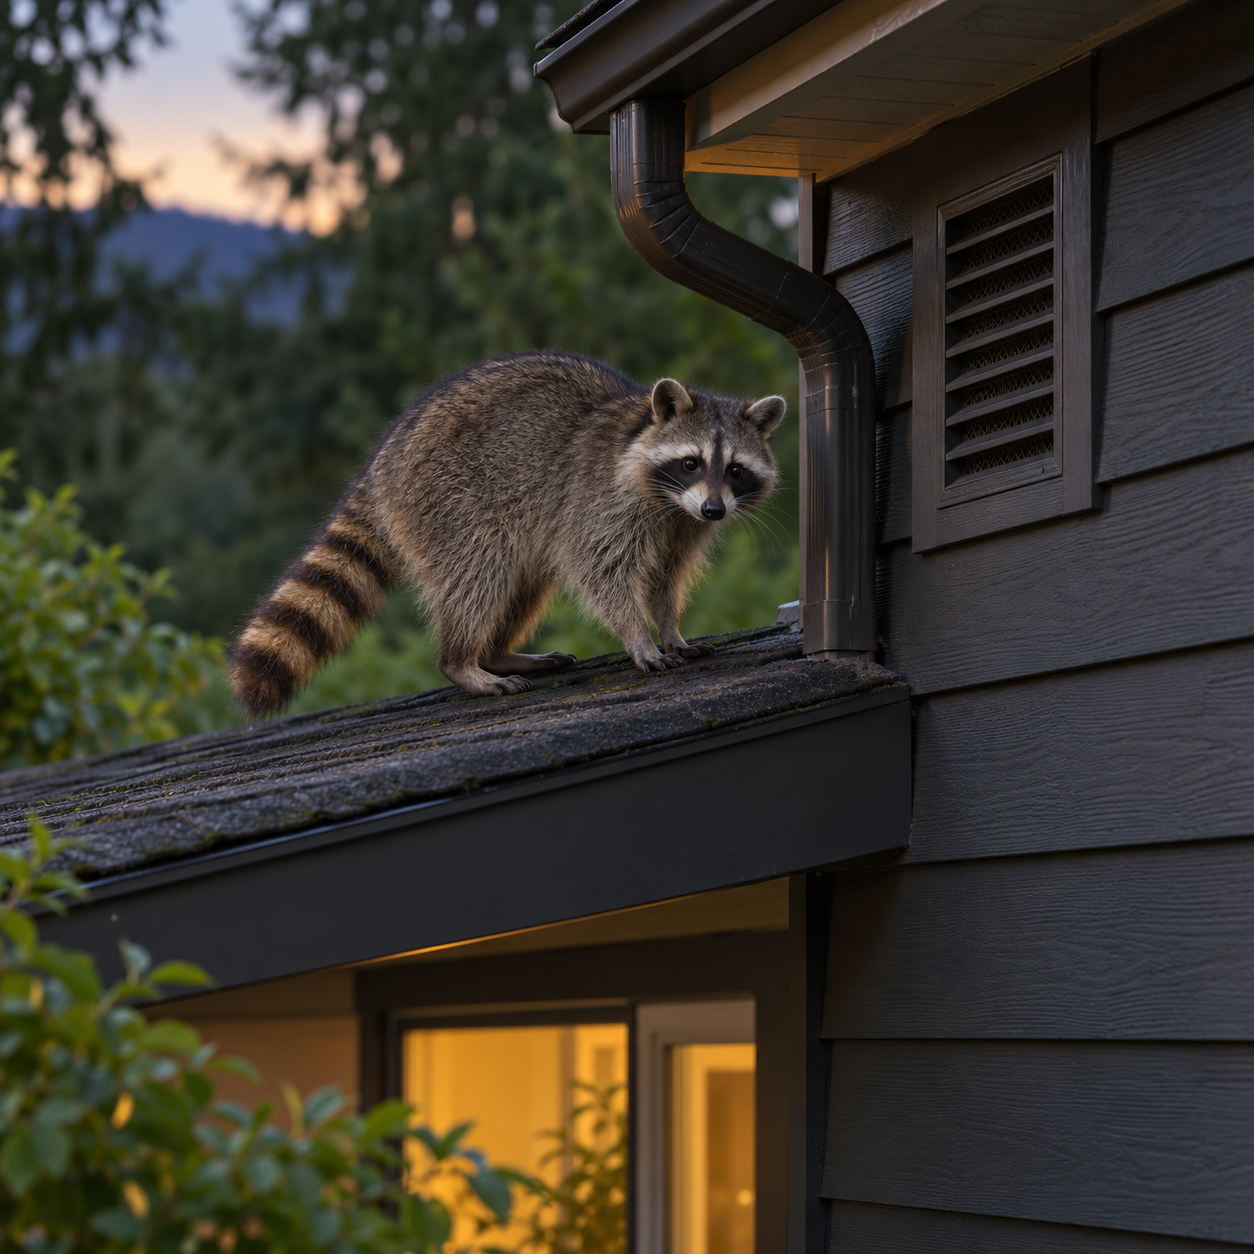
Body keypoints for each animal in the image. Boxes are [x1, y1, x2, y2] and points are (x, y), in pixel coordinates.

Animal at [230, 351, 784, 715]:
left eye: (735, 470)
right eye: (691, 462)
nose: (714, 510)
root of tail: (382, 461)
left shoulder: (681, 527)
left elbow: (666, 579)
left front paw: (670, 628)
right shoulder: (601, 500)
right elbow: (600, 568)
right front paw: (638, 636)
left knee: (521, 583)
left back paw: (497, 651)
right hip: (450, 500)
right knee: (478, 575)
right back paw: (461, 660)